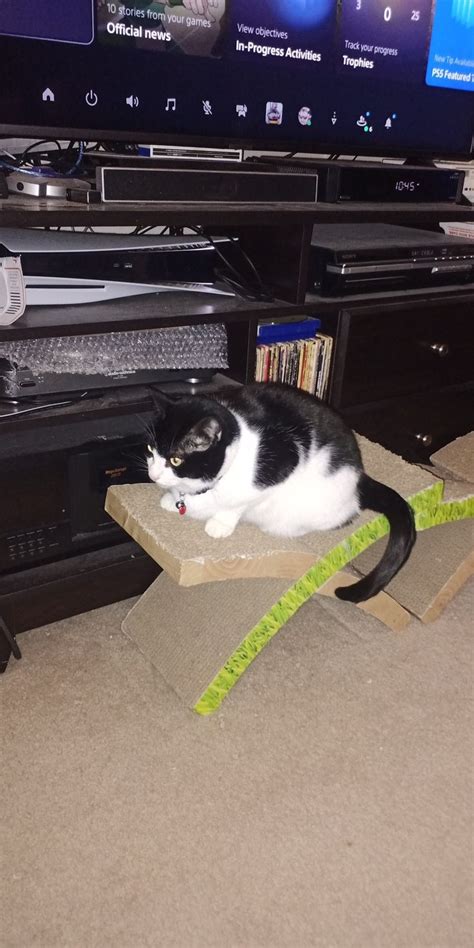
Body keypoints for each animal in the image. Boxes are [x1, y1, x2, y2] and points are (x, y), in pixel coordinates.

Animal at [147, 384, 414, 600]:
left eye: (176, 459)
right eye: (151, 449)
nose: (153, 475)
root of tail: (361, 476)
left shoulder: (281, 463)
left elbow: (238, 504)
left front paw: (219, 524)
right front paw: (171, 500)